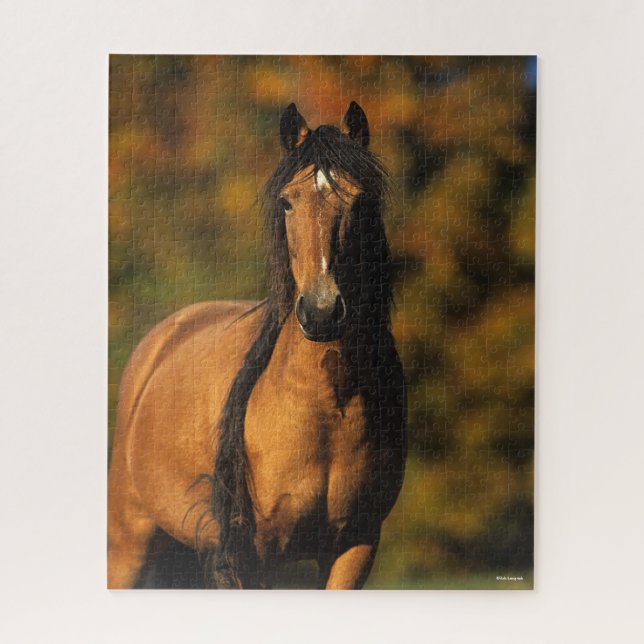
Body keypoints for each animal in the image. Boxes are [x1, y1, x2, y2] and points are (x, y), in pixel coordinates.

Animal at [108, 102, 407, 589]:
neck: (329, 406)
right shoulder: (253, 556)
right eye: (287, 201)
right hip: (128, 541)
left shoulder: (355, 547)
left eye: (360, 201)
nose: (321, 311)